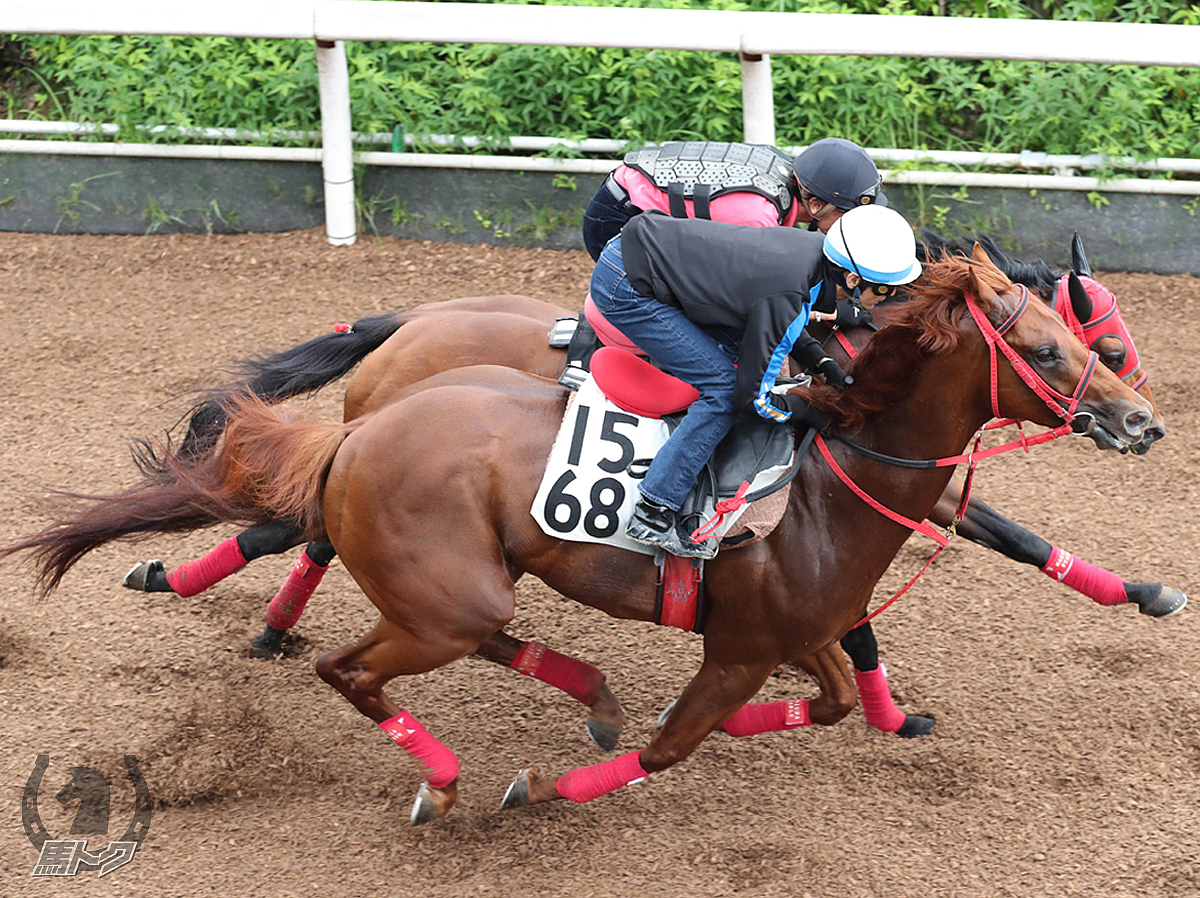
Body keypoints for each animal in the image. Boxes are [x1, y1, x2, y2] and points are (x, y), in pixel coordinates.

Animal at [4, 252, 1156, 821]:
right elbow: (678, 739)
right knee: (349, 652)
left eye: (1095, 338)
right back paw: (442, 769)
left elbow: (832, 692)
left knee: (401, 606)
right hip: (446, 597)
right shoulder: (741, 645)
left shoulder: (800, 631)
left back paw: (584, 693)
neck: (830, 480)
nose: (1141, 419)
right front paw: (554, 789)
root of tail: (368, 419)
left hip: (462, 584)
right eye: (1056, 348)